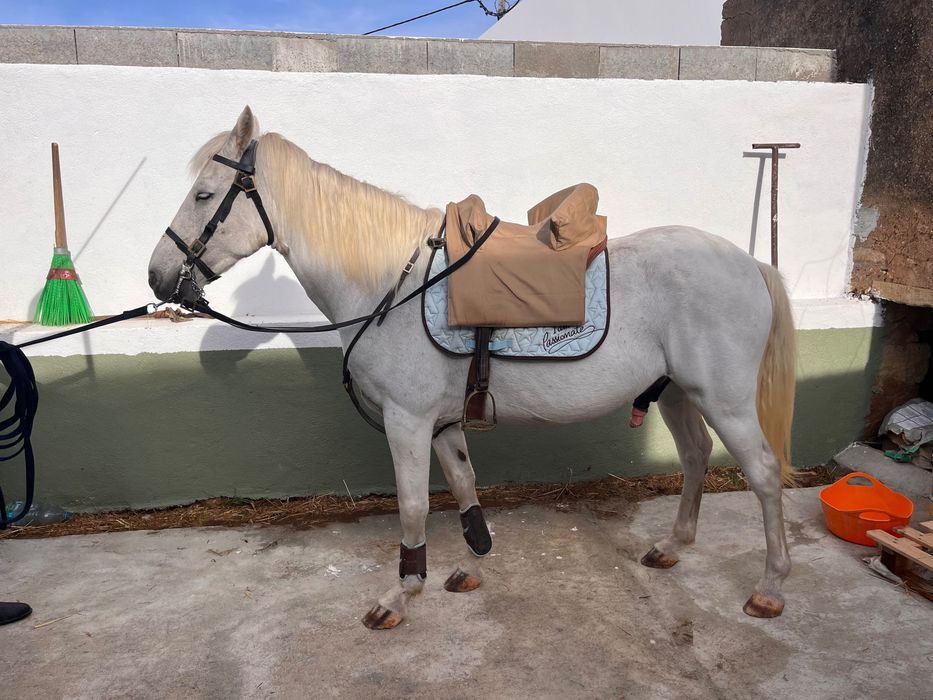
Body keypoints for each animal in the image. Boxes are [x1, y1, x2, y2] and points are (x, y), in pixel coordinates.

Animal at [148, 107, 797, 629]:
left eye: (204, 195)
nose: (157, 278)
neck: (391, 285)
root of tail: (749, 264)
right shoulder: (442, 423)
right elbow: (463, 485)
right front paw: (472, 565)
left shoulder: (407, 420)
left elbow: (413, 506)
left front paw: (402, 595)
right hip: (678, 392)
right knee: (695, 456)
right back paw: (674, 546)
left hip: (723, 400)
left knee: (764, 474)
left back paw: (770, 587)